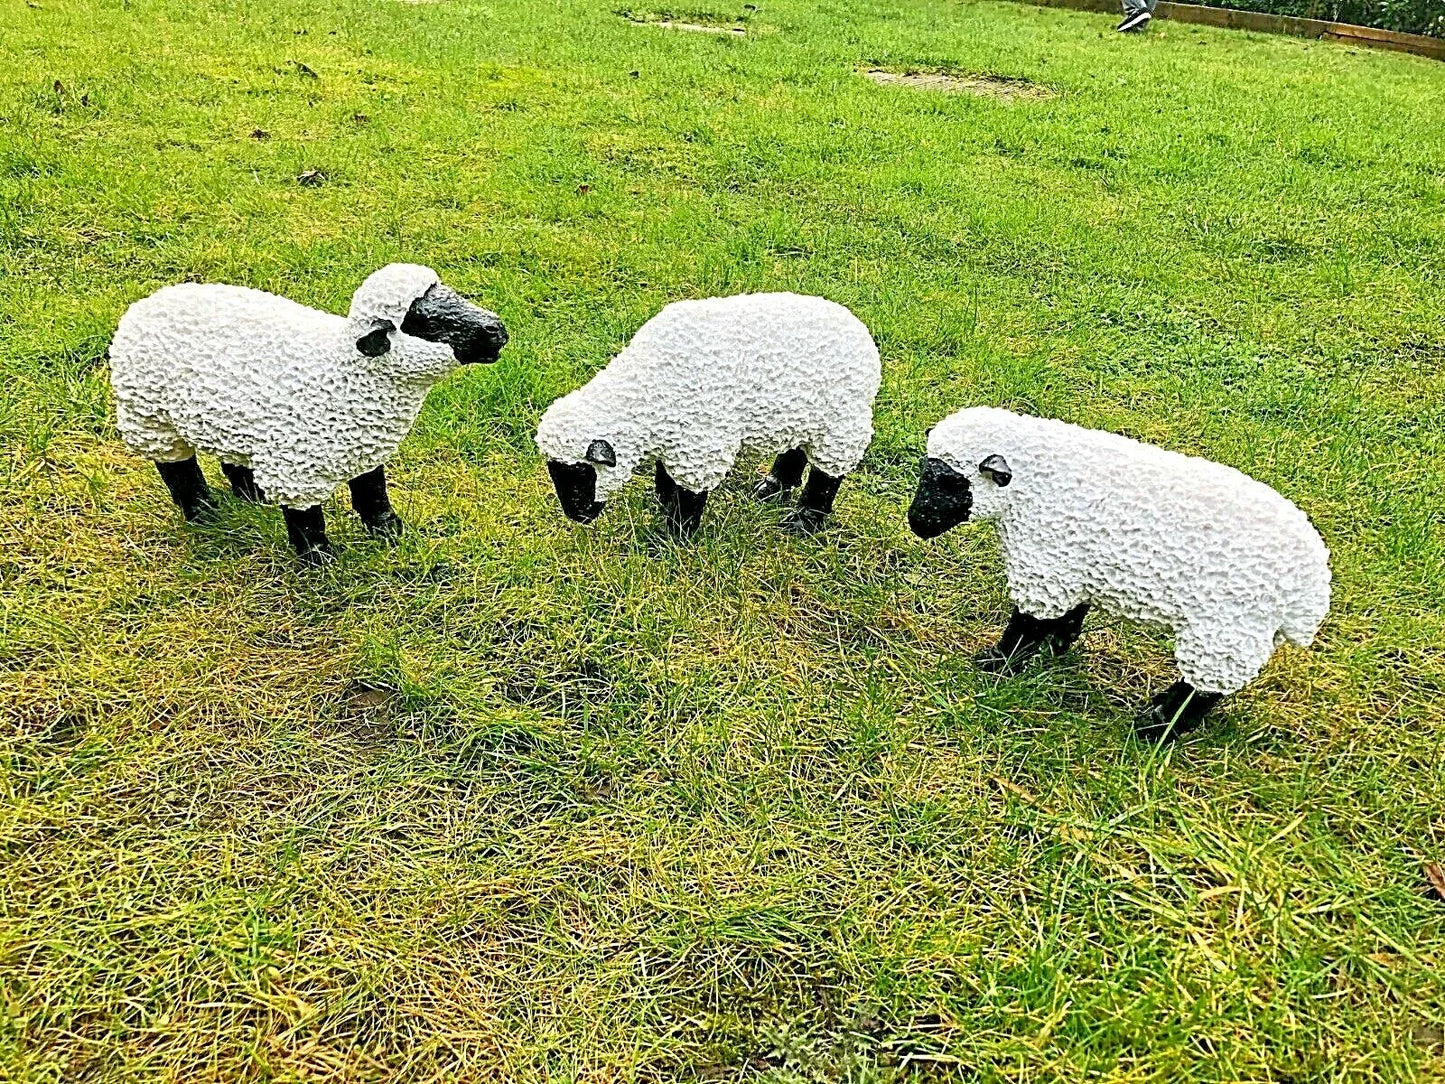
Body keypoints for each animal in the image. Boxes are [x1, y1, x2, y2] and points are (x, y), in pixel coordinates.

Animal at [109, 263, 508, 563]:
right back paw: (203, 513)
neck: (349, 375)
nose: (497, 329)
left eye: (453, 294)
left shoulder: (362, 445)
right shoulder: (295, 470)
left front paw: (389, 532)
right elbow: (307, 520)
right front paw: (319, 563)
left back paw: (253, 497)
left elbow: (372, 492)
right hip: (149, 417)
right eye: (425, 322)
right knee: (178, 470)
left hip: (230, 418)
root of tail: (145, 304)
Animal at [535, 292, 880, 538]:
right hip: (802, 414)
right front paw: (663, 501)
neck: (646, 387)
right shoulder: (677, 431)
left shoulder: (702, 442)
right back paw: (771, 489)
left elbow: (690, 492)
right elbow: (666, 473)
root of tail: (862, 336)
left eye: (582, 475)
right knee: (795, 448)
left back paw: (804, 522)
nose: (577, 516)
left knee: (828, 474)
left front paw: (675, 536)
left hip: (842, 423)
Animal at [906, 406, 1331, 740]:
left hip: (1225, 630)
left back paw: (1155, 726)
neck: (1031, 486)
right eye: (927, 470)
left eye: (952, 481)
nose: (917, 523)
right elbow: (1068, 616)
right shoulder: (1069, 567)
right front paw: (1055, 648)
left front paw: (997, 664)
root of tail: (1311, 594)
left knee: (1204, 688)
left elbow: (1027, 624)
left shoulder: (1045, 564)